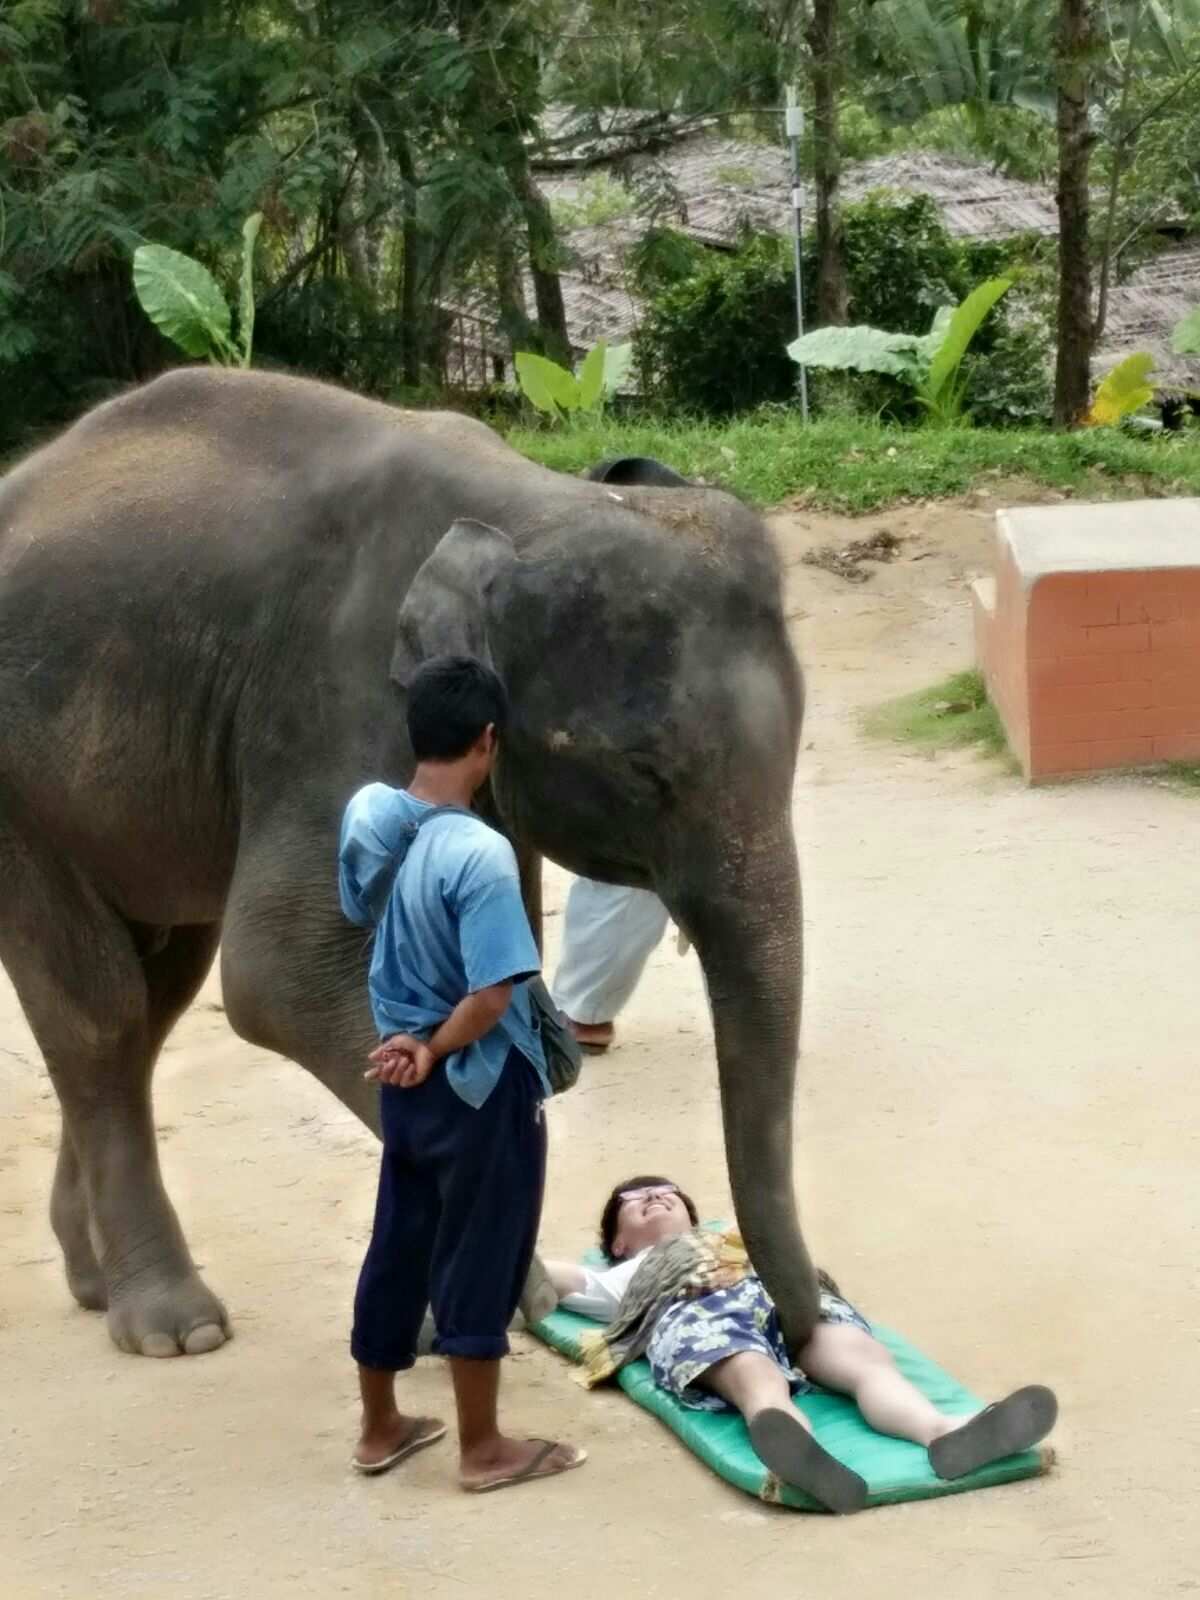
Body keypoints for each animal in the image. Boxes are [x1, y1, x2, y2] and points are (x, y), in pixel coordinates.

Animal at [0, 366, 819, 1363]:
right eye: (644, 773)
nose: (801, 1339)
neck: (525, 501)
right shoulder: (339, 693)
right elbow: (283, 979)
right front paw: (509, 1296)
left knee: (156, 998)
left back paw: (91, 1282)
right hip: (16, 796)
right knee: (102, 1013)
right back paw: (175, 1329)